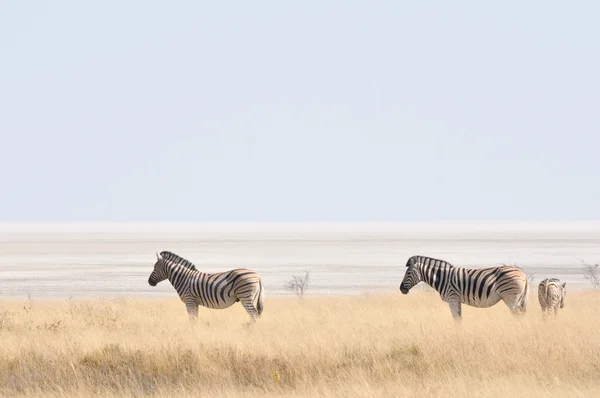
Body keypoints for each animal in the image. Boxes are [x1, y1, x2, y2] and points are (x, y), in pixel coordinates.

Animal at [398, 255, 528, 320]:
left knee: (518, 316)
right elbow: (460, 319)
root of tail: (523, 274)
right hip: (519, 300)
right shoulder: (457, 300)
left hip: (511, 299)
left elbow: (456, 319)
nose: (401, 289)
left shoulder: (452, 298)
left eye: (408, 273)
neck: (442, 278)